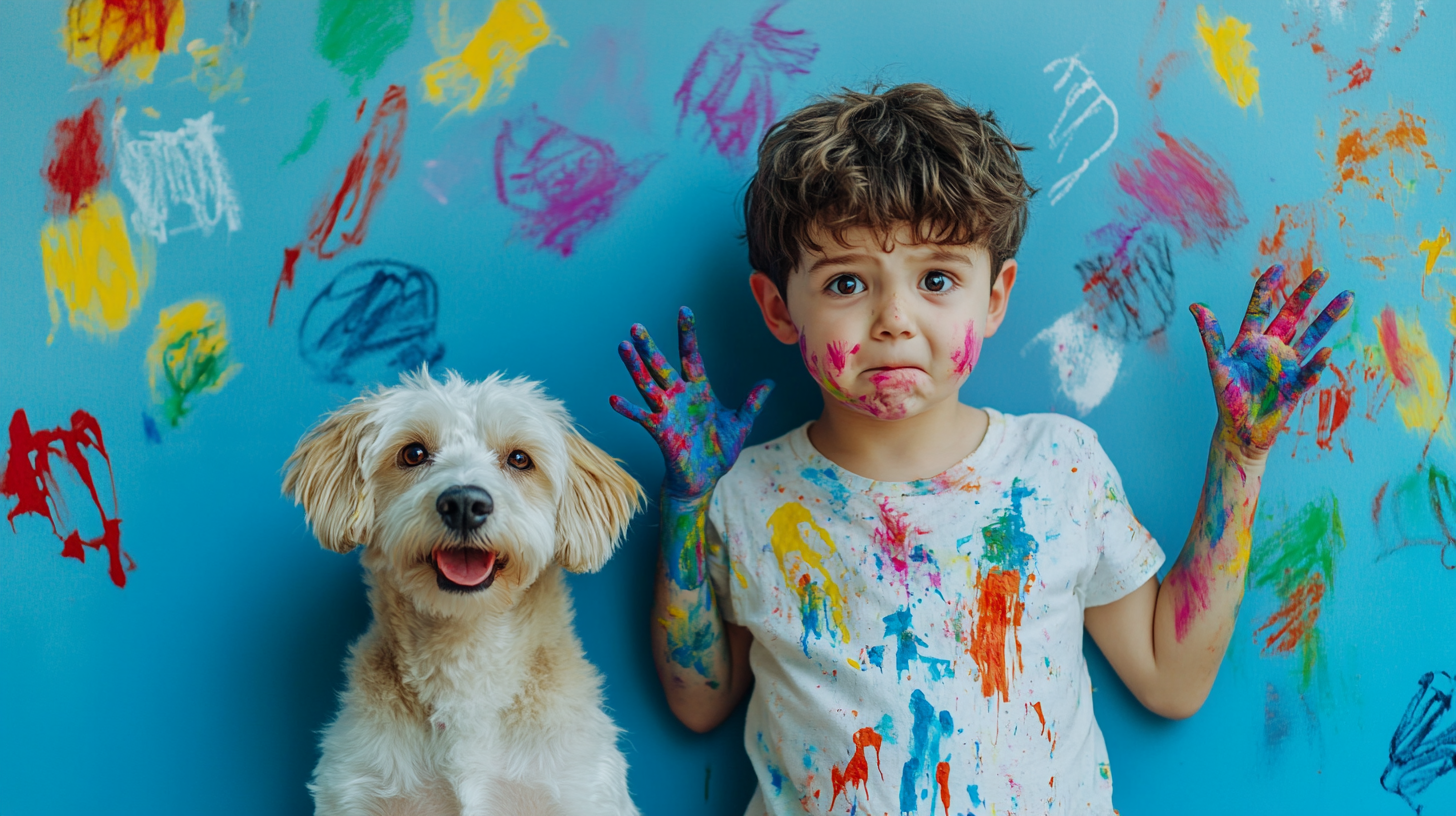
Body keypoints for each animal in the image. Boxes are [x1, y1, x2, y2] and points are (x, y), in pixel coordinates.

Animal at [283, 371, 643, 816]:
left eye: (519, 459)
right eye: (413, 453)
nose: (464, 503)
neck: (465, 653)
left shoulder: (578, 789)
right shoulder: (356, 790)